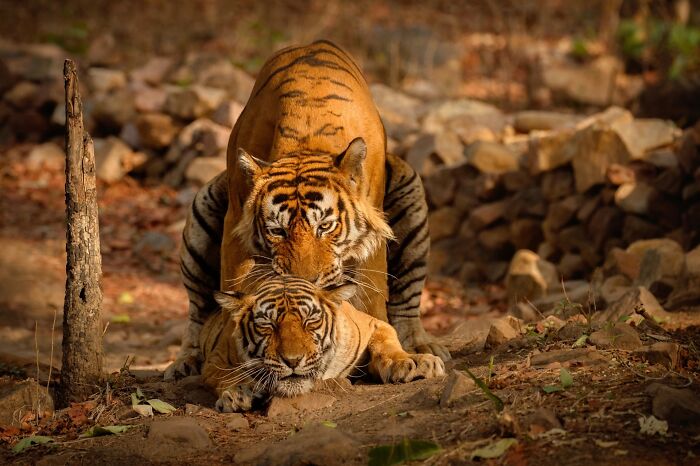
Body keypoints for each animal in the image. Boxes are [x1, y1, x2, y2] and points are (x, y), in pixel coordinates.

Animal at [165, 40, 449, 381]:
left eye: (325, 227)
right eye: (277, 231)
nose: (307, 284)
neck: (306, 137)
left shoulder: (374, 236)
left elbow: (374, 301)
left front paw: (398, 358)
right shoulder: (235, 223)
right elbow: (233, 287)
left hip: (410, 189)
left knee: (406, 304)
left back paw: (422, 347)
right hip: (202, 208)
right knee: (196, 311)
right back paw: (184, 363)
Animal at [200, 274, 445, 412]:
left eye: (310, 320)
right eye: (268, 325)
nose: (292, 361)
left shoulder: (373, 324)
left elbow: (387, 345)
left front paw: (414, 363)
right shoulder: (216, 359)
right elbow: (227, 375)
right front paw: (238, 394)